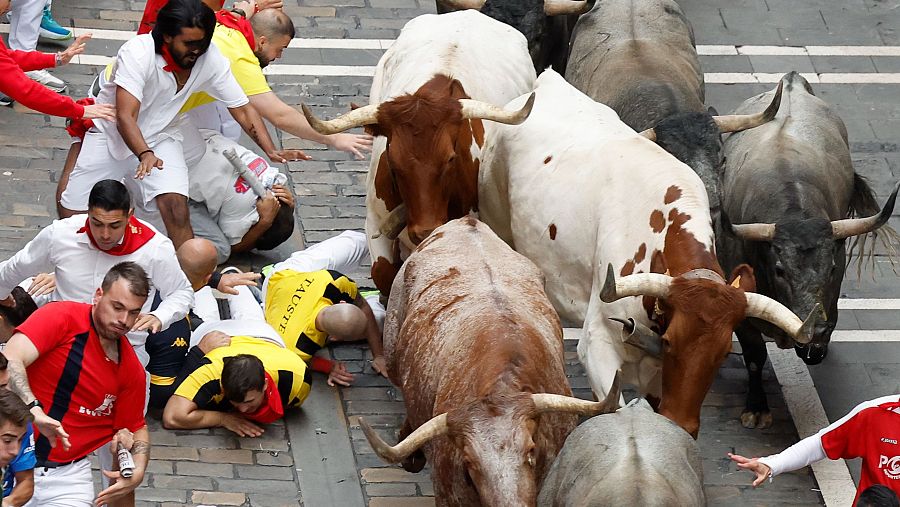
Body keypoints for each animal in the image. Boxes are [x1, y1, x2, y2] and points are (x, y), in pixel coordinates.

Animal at [302, 9, 540, 296]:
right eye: (392, 162)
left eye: (451, 158)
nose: (424, 231)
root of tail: (470, 12)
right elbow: (384, 274)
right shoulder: (374, 221)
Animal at [716, 70, 900, 428]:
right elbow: (755, 356)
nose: (814, 328)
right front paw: (756, 407)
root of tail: (792, 82)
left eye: (832, 268)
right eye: (779, 269)